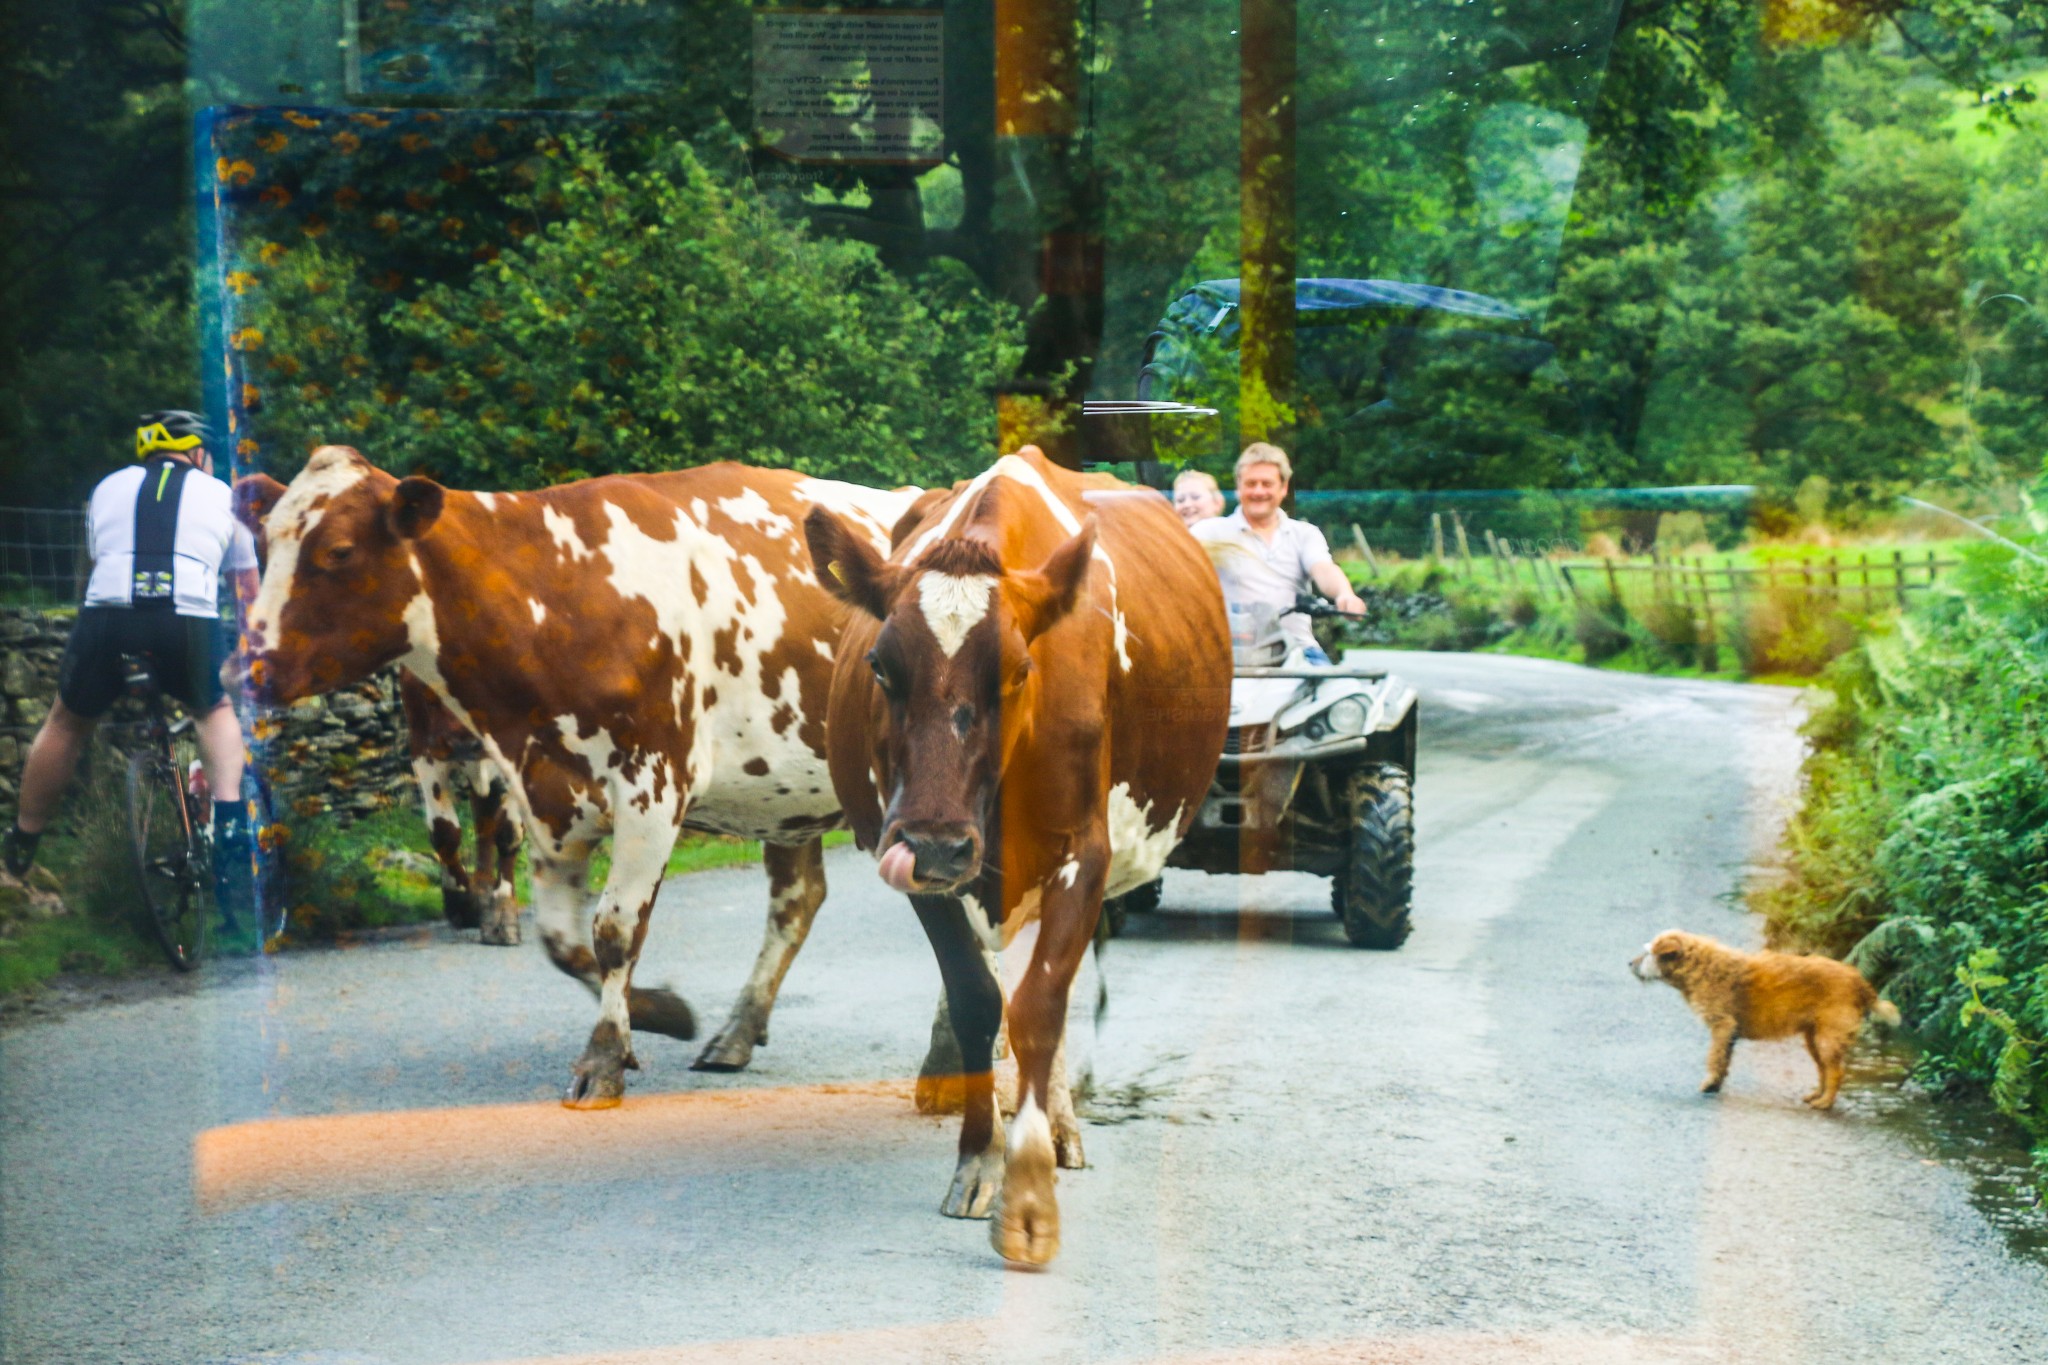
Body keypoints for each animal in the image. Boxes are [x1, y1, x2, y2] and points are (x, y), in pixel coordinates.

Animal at [235, 454, 917, 1105]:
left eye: (338, 552)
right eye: (265, 544)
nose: (242, 670)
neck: (559, 597)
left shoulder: (653, 785)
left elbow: (614, 930)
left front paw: (604, 1060)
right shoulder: (544, 794)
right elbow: (561, 942)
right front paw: (658, 1012)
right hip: (785, 797)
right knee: (796, 901)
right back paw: (737, 1031)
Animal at [802, 446, 1220, 1260]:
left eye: (1020, 670)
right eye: (880, 667)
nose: (937, 839)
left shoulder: (1084, 854)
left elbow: (1040, 1008)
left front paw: (1029, 1191)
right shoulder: (919, 865)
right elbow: (977, 1004)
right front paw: (980, 1158)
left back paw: (1056, 1127)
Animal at [1630, 929, 1900, 1113]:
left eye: (1648, 953)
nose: (1629, 963)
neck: (1700, 966)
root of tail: (1860, 982)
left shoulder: (1721, 1026)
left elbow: (1715, 1057)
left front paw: (1710, 1083)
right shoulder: (1729, 1034)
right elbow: (1724, 1060)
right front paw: (1716, 1084)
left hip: (1827, 1039)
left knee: (1836, 1071)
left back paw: (1825, 1102)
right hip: (1814, 1039)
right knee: (1824, 1070)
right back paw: (1817, 1095)